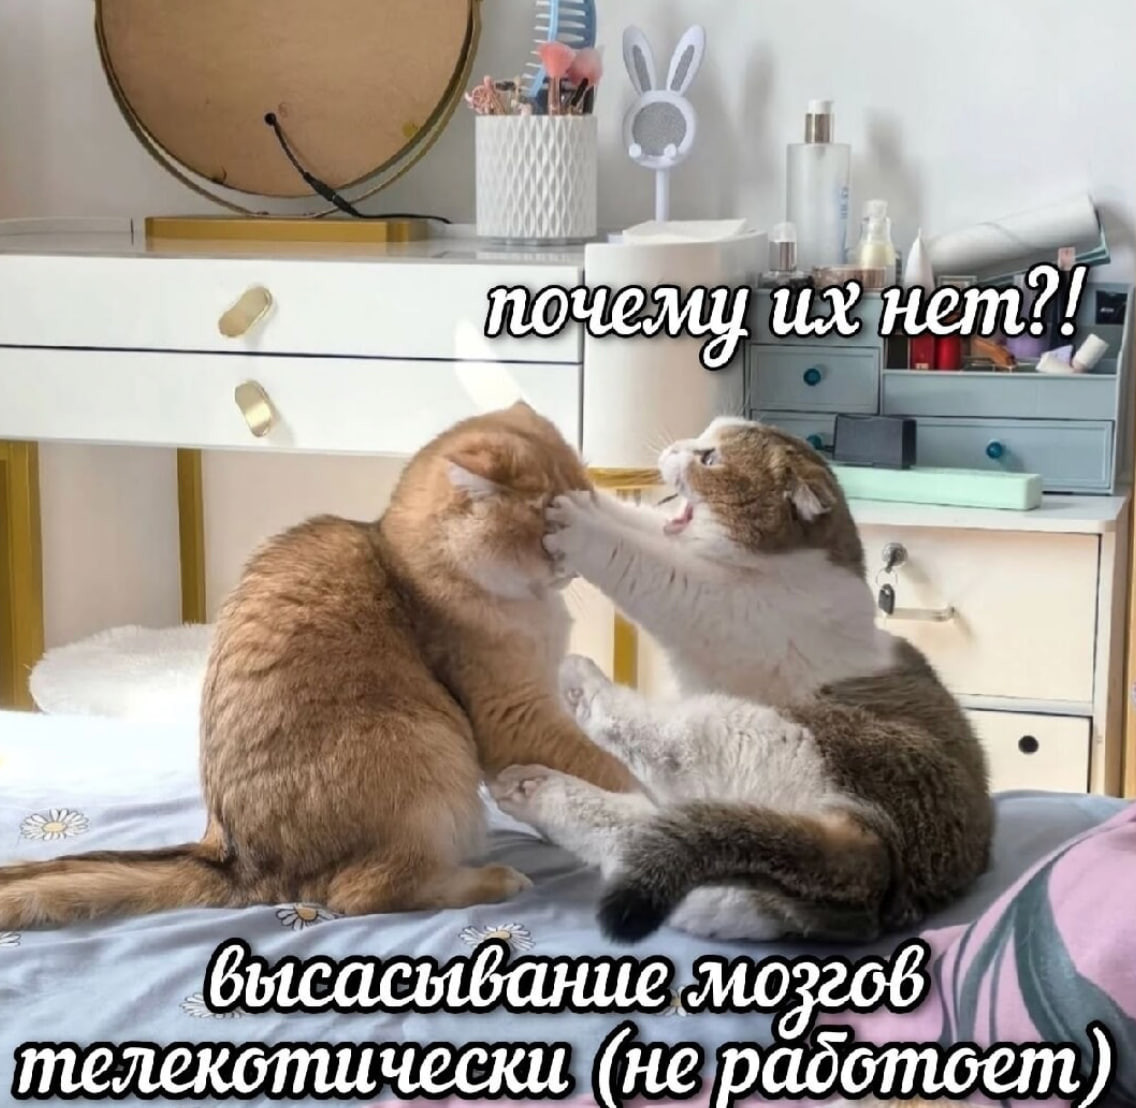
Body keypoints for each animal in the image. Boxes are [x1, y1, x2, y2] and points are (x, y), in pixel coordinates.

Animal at [0, 402, 633, 929]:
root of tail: (233, 861)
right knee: (362, 894)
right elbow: (605, 767)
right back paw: (494, 878)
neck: (410, 565)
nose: (578, 561)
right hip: (426, 752)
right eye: (552, 522)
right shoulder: (514, 716)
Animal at [491, 417, 993, 944]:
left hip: (762, 730)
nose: (671, 448)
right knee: (635, 830)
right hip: (723, 881)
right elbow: (634, 521)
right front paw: (578, 498)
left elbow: (640, 560)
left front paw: (575, 525)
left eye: (710, 458)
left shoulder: (714, 601)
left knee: (655, 743)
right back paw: (530, 789)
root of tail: (876, 860)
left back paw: (576, 687)